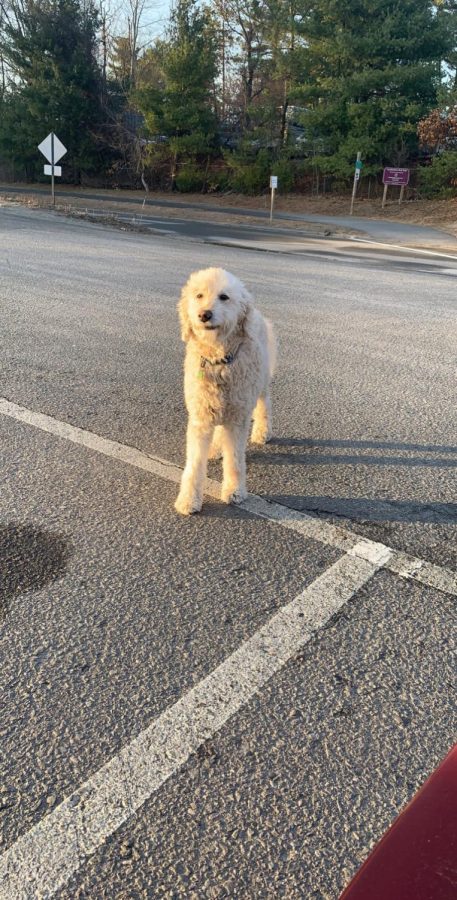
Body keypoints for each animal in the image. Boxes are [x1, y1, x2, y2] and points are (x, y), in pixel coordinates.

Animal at [174, 268, 274, 516]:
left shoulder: (238, 418)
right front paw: (189, 499)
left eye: (224, 297)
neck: (218, 360)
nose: (204, 314)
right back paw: (216, 447)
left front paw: (235, 491)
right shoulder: (200, 417)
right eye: (199, 295)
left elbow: (235, 460)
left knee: (264, 405)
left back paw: (262, 432)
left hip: (260, 383)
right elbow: (194, 463)